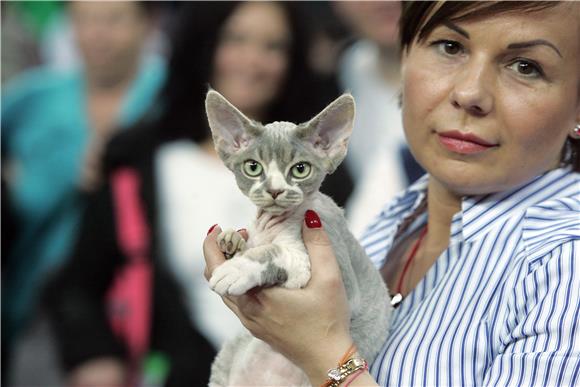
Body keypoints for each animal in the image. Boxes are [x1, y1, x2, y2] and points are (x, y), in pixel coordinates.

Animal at [204, 91, 390, 387]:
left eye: (300, 169)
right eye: (253, 167)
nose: (274, 190)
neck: (270, 224)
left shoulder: (331, 263)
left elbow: (273, 252)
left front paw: (237, 268)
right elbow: (248, 241)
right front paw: (231, 240)